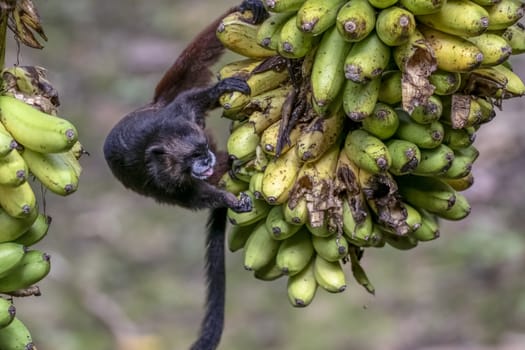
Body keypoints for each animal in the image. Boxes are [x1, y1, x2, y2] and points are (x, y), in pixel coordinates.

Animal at [102, 1, 268, 348]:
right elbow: (193, 196)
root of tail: (152, 105)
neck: (159, 137)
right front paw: (230, 200)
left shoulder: (181, 114)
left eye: (200, 149)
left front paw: (221, 88)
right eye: (193, 157)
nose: (206, 159)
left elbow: (195, 93)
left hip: (167, 104)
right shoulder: (165, 178)